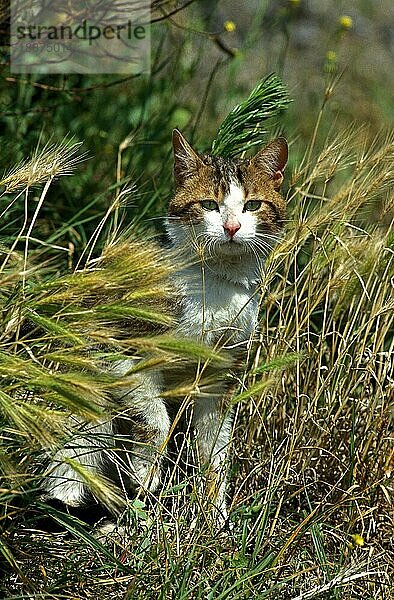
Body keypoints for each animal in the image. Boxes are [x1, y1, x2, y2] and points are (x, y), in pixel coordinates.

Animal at [43, 130, 288, 520]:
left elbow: (214, 451)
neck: (216, 283)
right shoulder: (121, 351)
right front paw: (146, 473)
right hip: (83, 403)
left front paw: (214, 516)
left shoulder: (220, 378)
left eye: (252, 205)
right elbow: (155, 418)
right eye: (208, 204)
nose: (231, 227)